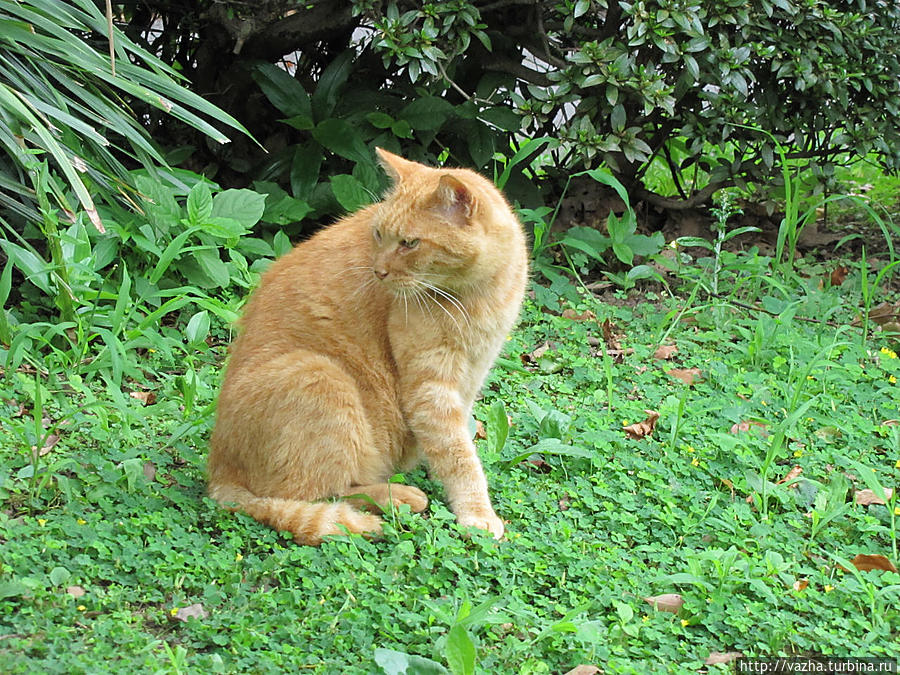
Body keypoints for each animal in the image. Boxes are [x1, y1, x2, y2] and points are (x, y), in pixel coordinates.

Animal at [207, 148, 528, 544]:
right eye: (379, 234)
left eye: (409, 243)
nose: (379, 271)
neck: (478, 293)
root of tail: (218, 472)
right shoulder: (430, 387)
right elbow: (459, 456)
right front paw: (477, 513)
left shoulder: (472, 372)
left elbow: (453, 442)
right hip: (320, 375)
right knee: (309, 494)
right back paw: (398, 497)